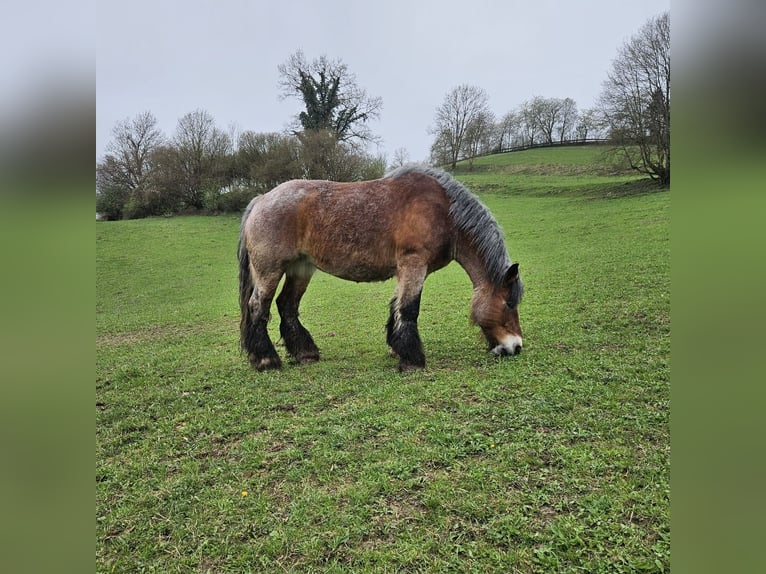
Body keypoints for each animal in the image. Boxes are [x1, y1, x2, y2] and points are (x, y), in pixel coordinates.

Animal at [238, 165, 524, 372]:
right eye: (508, 303)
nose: (516, 347)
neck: (443, 211)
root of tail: (261, 200)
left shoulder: (406, 270)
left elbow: (396, 307)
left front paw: (397, 349)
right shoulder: (414, 265)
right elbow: (409, 309)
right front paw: (412, 360)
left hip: (300, 268)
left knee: (287, 306)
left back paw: (304, 353)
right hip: (269, 271)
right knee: (258, 307)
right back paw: (266, 360)